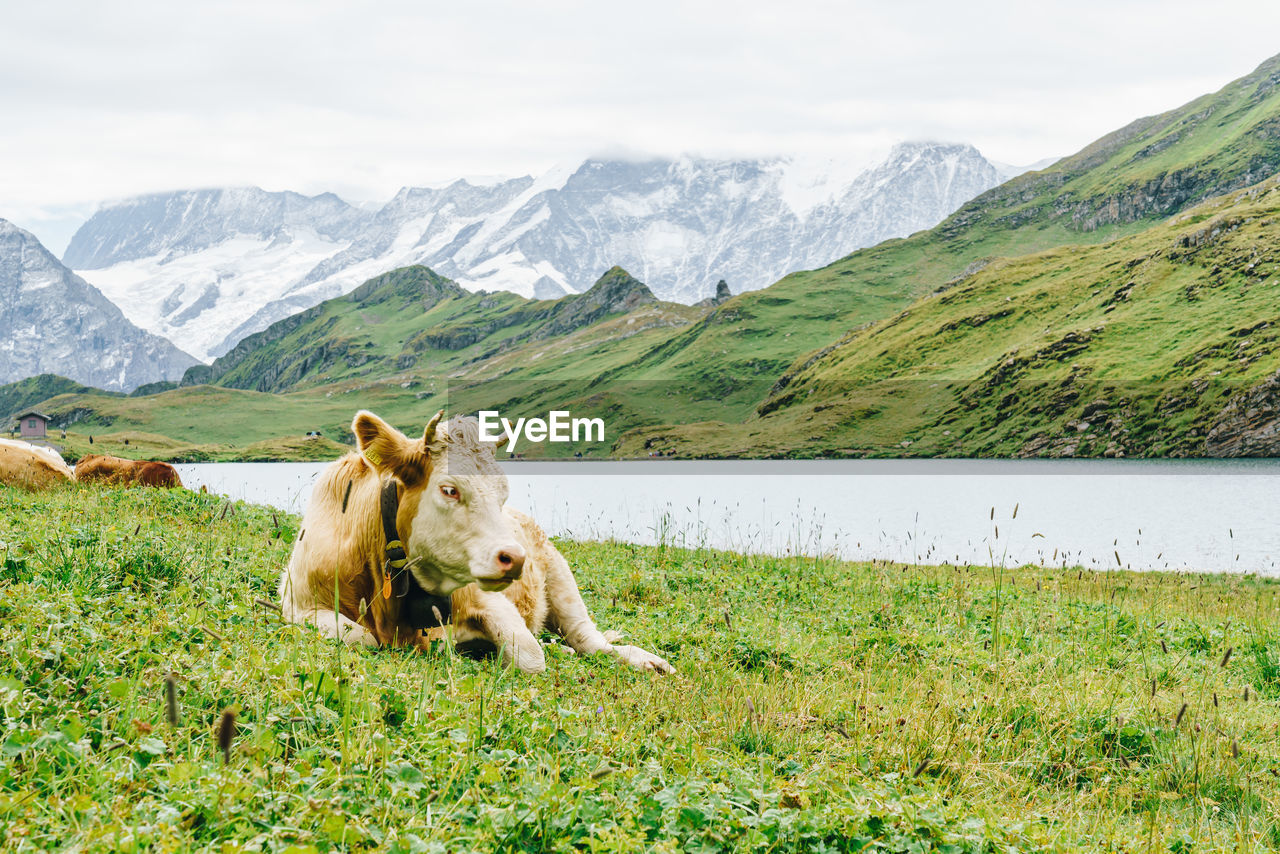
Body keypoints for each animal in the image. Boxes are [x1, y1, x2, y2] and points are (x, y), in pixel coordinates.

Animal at [277, 412, 680, 676]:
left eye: (502, 492)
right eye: (450, 489)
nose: (515, 558)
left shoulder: (487, 598)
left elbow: (529, 656)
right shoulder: (296, 604)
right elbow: (361, 638)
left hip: (561, 577)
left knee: (590, 640)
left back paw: (644, 660)